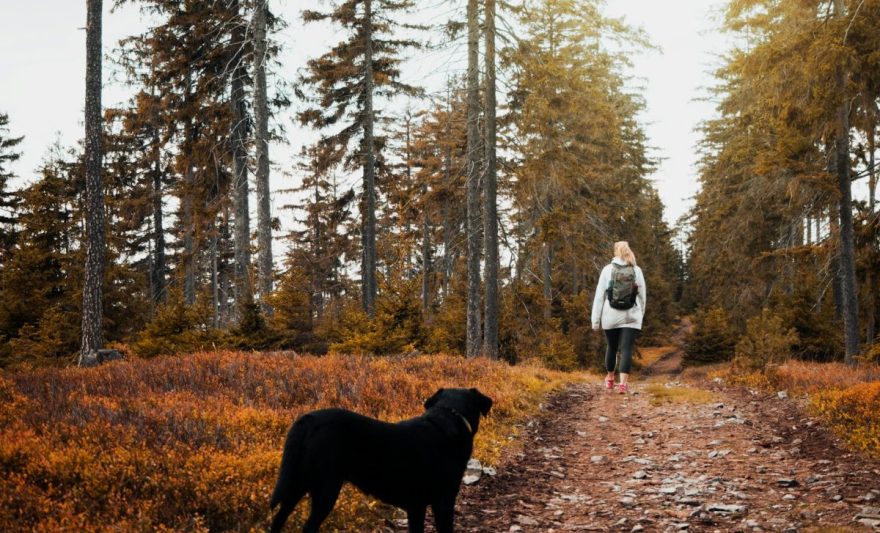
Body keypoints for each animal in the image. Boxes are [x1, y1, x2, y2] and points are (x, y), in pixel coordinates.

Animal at [268, 386, 492, 532]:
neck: (448, 420)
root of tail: (306, 421)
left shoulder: (416, 506)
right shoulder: (443, 500)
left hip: (296, 482)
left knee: (278, 519)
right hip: (326, 487)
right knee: (308, 526)